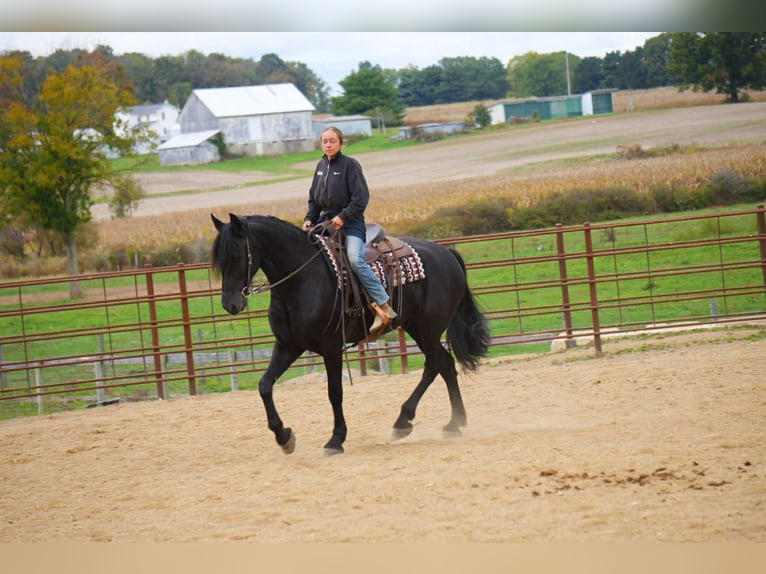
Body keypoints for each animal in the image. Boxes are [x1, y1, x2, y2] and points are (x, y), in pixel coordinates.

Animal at [211, 213, 491, 456]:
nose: (230, 304)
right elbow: (264, 385)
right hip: (417, 328)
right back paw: (454, 423)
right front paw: (284, 437)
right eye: (219, 260)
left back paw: (403, 421)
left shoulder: (331, 347)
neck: (302, 280)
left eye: (236, 255)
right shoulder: (288, 346)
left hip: (428, 328)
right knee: (445, 364)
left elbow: (334, 392)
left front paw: (336, 440)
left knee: (433, 365)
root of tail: (447, 253)